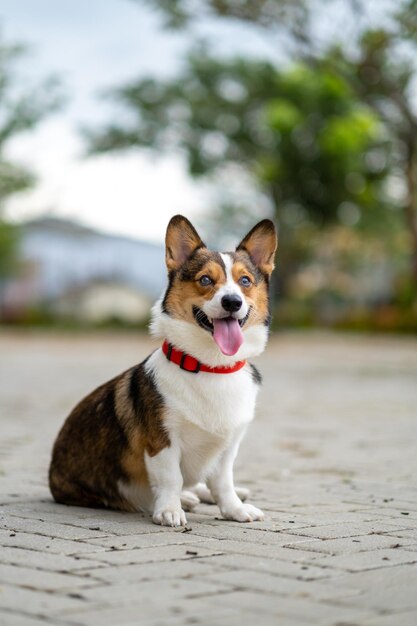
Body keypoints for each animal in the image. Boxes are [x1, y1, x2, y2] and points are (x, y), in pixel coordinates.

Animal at [48, 213, 276, 520]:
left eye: (245, 281)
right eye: (206, 279)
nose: (232, 301)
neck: (211, 366)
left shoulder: (228, 447)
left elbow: (222, 483)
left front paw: (234, 510)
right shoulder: (162, 441)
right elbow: (171, 479)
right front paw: (169, 510)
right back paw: (187, 499)